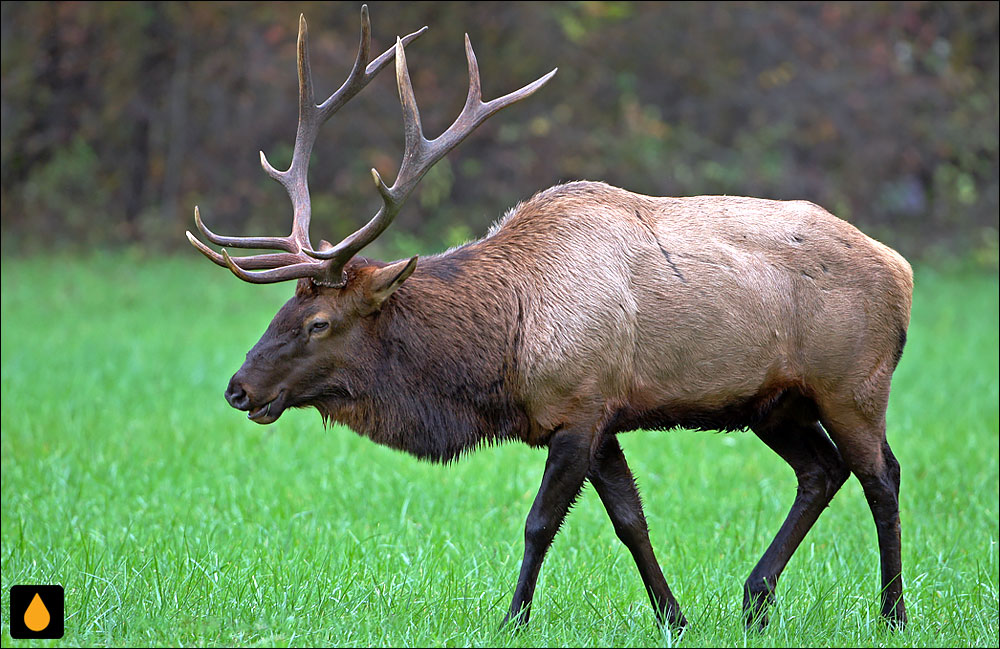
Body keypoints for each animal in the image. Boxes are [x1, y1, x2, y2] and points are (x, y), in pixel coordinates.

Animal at [188, 7, 916, 632]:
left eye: (318, 323)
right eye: (284, 307)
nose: (238, 388)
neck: (502, 356)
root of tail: (903, 270)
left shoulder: (581, 405)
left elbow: (540, 522)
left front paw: (512, 619)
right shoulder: (599, 414)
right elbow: (630, 519)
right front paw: (674, 617)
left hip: (852, 382)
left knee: (881, 475)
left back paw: (892, 614)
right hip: (774, 401)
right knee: (820, 471)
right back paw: (756, 598)